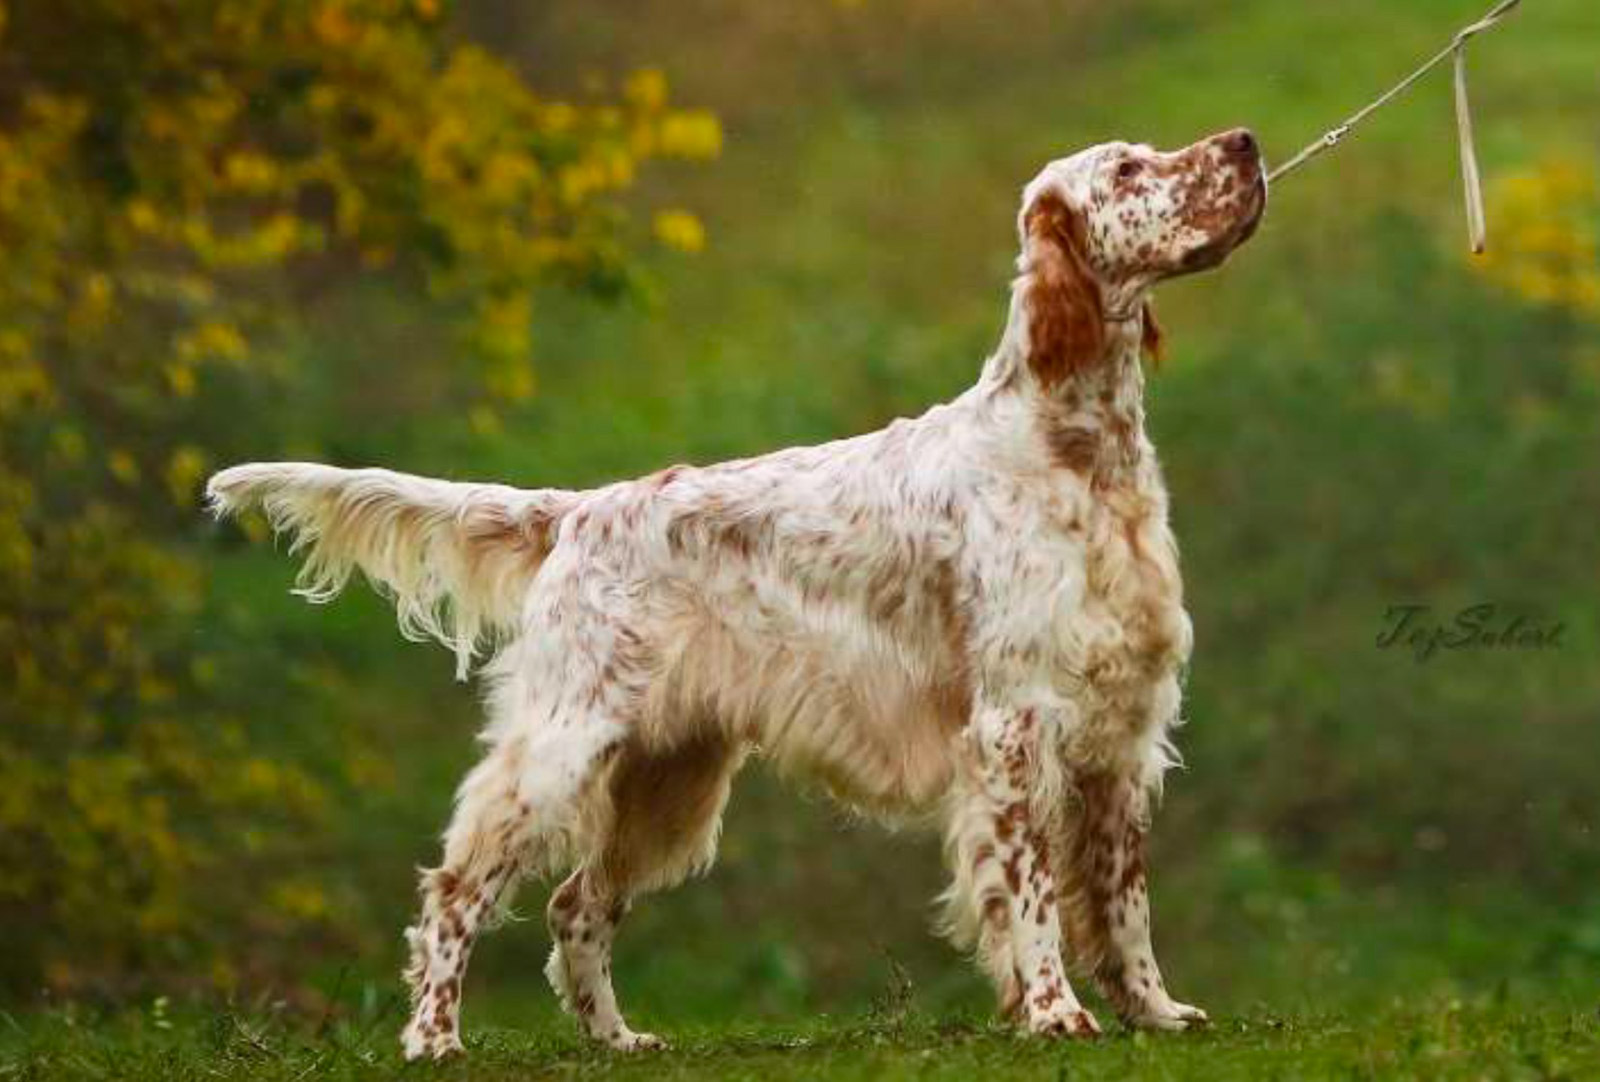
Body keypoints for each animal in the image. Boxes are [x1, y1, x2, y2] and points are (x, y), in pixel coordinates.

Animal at [209, 126, 1260, 1056]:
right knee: (458, 889)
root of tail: (582, 511)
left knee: (575, 903)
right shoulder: (1015, 723)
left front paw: (1156, 1011)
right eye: (1126, 171)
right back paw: (434, 1037)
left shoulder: (1125, 725)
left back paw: (617, 1038)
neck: (1080, 454)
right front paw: (1054, 1011)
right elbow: (1034, 891)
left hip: (668, 772)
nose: (1245, 144)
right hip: (560, 746)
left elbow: (1123, 898)